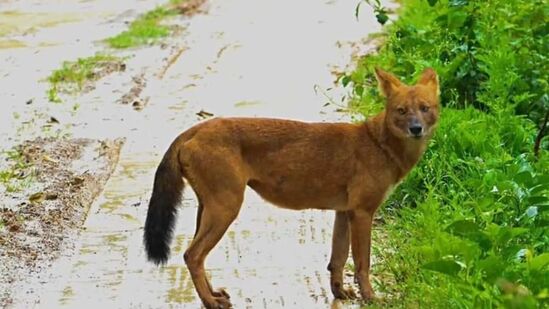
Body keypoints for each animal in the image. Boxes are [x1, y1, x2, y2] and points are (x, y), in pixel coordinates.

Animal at [143, 68, 438, 308]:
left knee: (197, 255)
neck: (380, 144)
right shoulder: (363, 212)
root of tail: (192, 130)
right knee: (192, 254)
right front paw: (371, 297)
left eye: (425, 108)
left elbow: (338, 258)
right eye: (401, 110)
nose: (416, 128)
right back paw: (210, 302)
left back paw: (215, 294)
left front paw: (340, 294)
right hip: (226, 208)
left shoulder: (344, 211)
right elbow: (362, 262)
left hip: (208, 208)